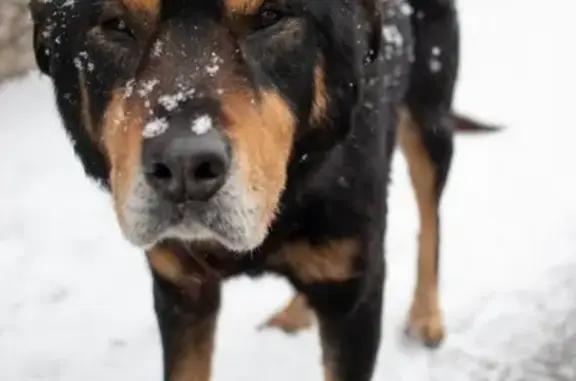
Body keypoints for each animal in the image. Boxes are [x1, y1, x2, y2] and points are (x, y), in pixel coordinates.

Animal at [27, 0, 498, 378]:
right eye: (115, 23)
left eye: (271, 17)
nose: (184, 166)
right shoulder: (181, 292)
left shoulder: (355, 300)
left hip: (429, 118)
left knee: (430, 219)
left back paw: (426, 314)